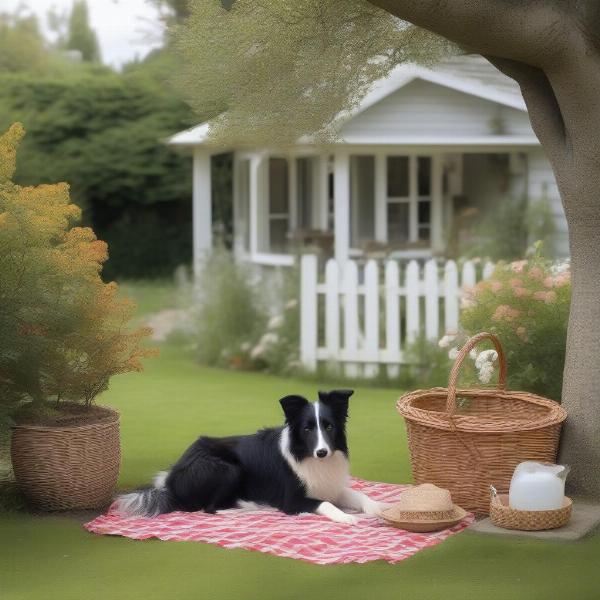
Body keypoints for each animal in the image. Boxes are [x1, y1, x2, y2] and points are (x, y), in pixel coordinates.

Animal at [115, 390, 386, 524]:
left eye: (328, 427)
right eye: (307, 429)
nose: (322, 452)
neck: (307, 456)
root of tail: (170, 483)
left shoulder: (330, 486)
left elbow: (360, 495)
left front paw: (379, 508)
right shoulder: (292, 500)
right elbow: (326, 504)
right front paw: (346, 517)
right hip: (227, 468)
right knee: (209, 508)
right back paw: (244, 509)